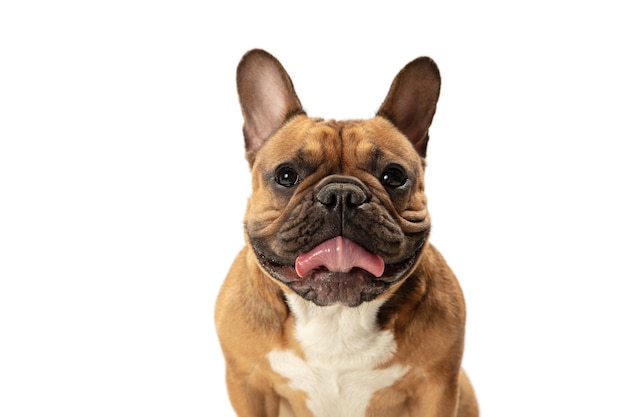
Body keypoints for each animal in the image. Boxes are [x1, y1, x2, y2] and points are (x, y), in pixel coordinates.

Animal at [214, 49, 478, 416]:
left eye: (394, 176)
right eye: (286, 175)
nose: (341, 195)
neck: (336, 316)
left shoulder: (437, 386)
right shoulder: (248, 383)